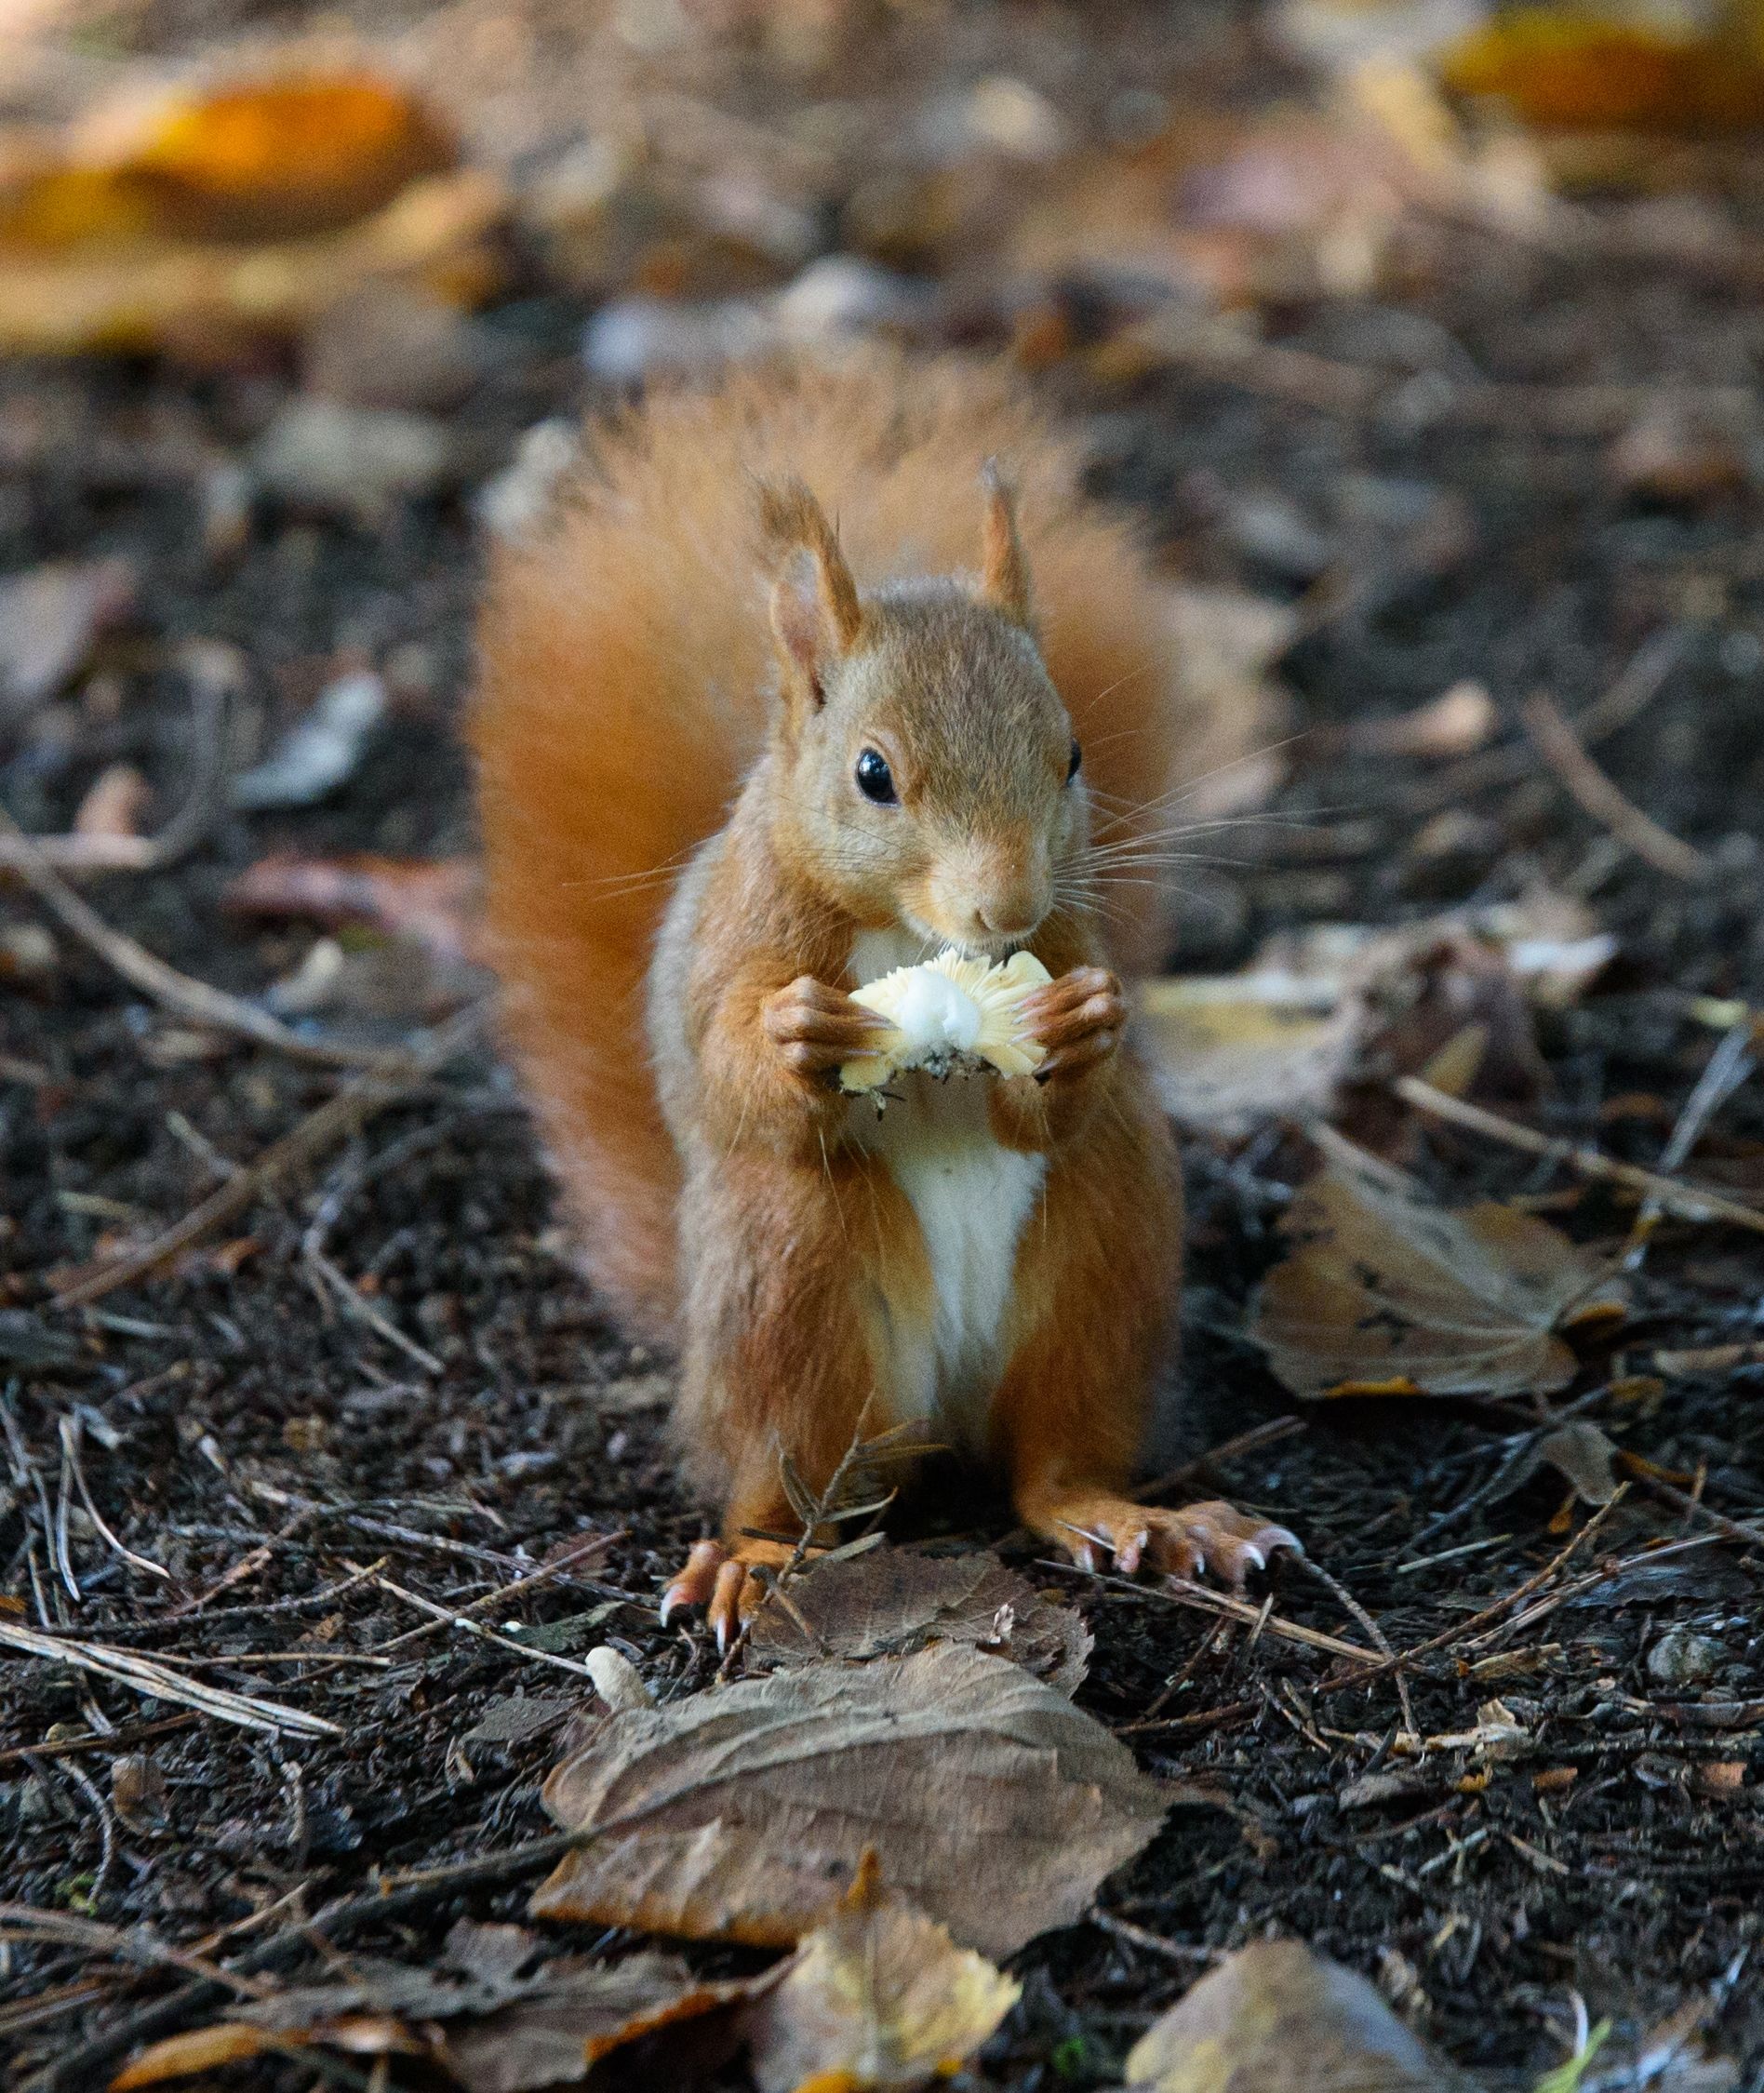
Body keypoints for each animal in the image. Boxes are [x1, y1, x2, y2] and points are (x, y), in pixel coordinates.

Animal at [472, 349, 1298, 1645]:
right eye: (872, 775)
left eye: (1071, 756)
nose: (1004, 908)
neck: (911, 935)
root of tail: (940, 1416)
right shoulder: (736, 937)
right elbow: (721, 1070)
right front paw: (792, 1038)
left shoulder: (1070, 934)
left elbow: (1048, 1096)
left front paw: (1083, 1032)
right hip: (789, 1283)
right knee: (786, 1473)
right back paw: (757, 1559)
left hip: (1106, 1252)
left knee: (1049, 1468)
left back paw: (1137, 1519)